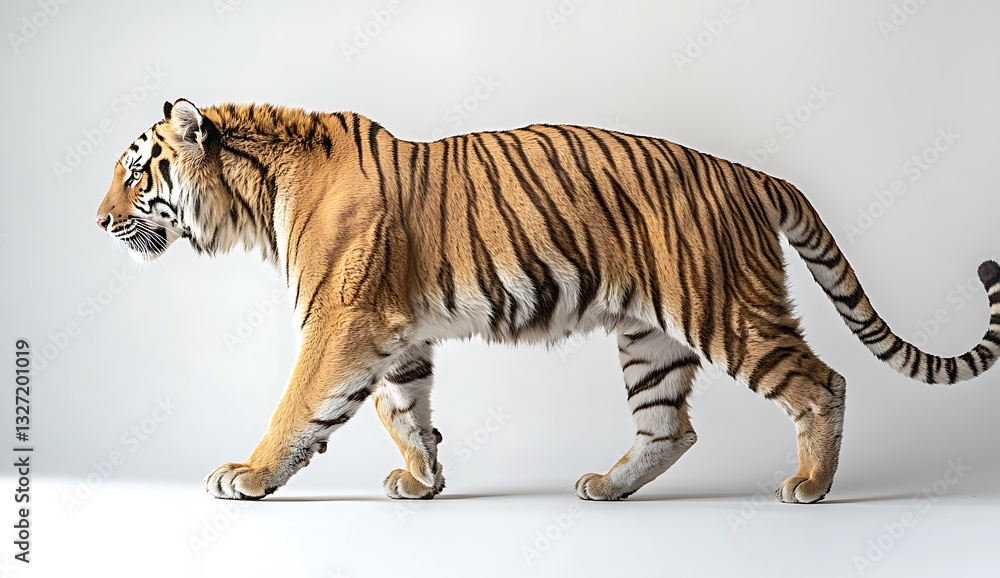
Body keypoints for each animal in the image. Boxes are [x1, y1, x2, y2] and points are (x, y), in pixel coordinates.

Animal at [96, 98, 999, 503]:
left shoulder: (340, 322)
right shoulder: (396, 334)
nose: (99, 222)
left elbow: (298, 405)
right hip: (649, 338)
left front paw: (248, 474)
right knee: (671, 427)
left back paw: (810, 484)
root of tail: (751, 173)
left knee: (822, 383)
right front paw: (423, 482)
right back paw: (609, 486)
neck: (255, 198)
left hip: (726, 311)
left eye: (136, 173)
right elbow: (402, 410)